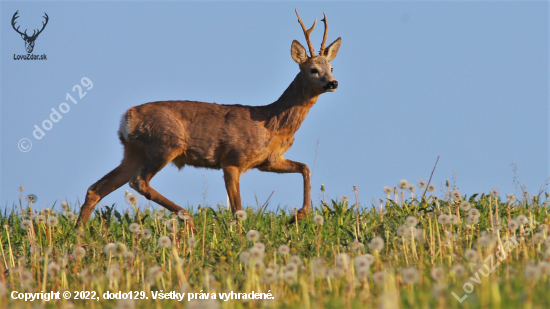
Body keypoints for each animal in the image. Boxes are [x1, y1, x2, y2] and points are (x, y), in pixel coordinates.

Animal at [74, 10, 340, 226]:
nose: (333, 83)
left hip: (133, 152)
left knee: (96, 189)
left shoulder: (268, 161)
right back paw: (187, 219)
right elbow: (237, 211)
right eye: (313, 69)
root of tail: (126, 118)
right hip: (166, 143)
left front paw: (298, 216)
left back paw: (79, 237)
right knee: (138, 181)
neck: (271, 123)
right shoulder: (231, 159)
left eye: (331, 68)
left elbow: (305, 168)